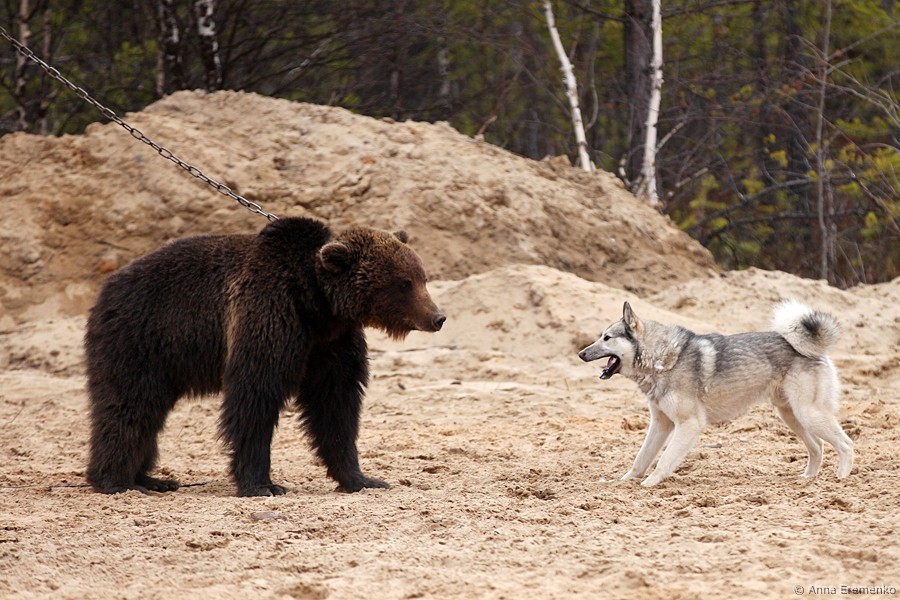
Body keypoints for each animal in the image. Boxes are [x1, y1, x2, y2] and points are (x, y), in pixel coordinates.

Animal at [85, 216, 446, 496]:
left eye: (422, 277)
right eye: (404, 283)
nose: (438, 317)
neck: (316, 304)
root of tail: (106, 288)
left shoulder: (330, 344)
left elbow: (335, 405)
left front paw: (362, 478)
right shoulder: (269, 316)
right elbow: (255, 397)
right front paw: (262, 484)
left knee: (147, 410)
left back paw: (151, 478)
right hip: (142, 338)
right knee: (130, 404)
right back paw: (116, 481)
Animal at [578, 300, 854, 487]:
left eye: (607, 338)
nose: (580, 354)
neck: (663, 359)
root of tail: (815, 350)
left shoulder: (689, 424)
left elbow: (664, 460)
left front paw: (650, 483)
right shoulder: (660, 424)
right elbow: (640, 460)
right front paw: (623, 482)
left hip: (808, 414)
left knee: (846, 444)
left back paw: (841, 479)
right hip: (792, 415)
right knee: (818, 447)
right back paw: (807, 479)